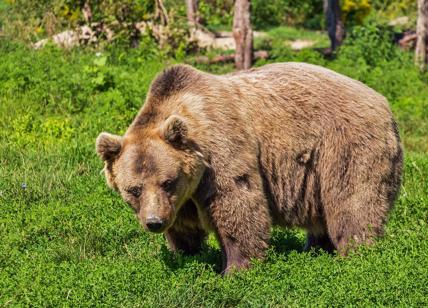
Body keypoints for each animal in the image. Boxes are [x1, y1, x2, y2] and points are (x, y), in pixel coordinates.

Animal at [95, 62, 402, 274]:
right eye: (133, 189)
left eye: (167, 181)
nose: (154, 222)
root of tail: (384, 103)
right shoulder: (183, 197)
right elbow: (184, 225)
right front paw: (186, 253)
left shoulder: (221, 151)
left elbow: (237, 204)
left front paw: (236, 268)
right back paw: (315, 248)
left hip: (345, 146)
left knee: (352, 202)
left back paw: (356, 253)